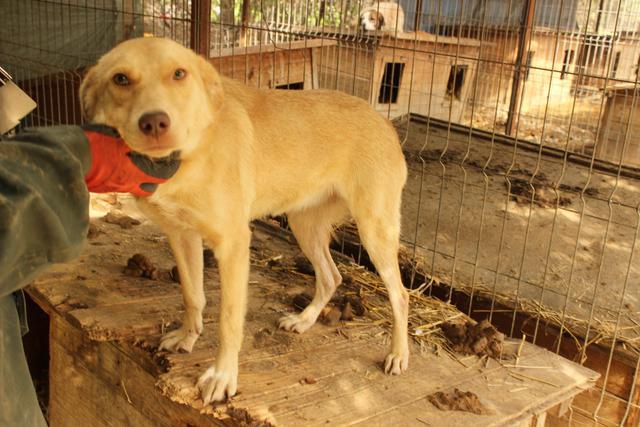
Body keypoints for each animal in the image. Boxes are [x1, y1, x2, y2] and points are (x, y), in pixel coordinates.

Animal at [80, 36, 410, 404]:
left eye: (179, 74)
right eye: (120, 79)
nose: (154, 123)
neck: (191, 156)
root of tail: (382, 120)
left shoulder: (234, 245)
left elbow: (228, 320)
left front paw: (223, 376)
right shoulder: (182, 235)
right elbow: (192, 295)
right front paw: (187, 336)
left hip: (374, 230)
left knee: (400, 294)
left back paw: (398, 354)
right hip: (304, 226)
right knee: (331, 277)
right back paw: (304, 320)